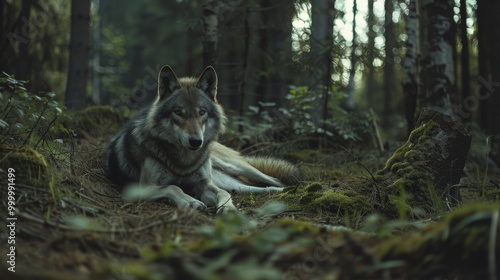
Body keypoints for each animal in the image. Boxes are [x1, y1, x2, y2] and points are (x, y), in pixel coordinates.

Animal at [105, 65, 298, 213]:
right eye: (178, 112)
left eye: (202, 112)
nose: (196, 142)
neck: (184, 162)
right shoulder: (139, 189)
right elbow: (173, 187)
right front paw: (190, 201)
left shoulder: (204, 184)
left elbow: (223, 194)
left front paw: (228, 208)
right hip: (233, 182)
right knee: (249, 188)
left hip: (236, 167)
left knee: (270, 180)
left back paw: (290, 189)